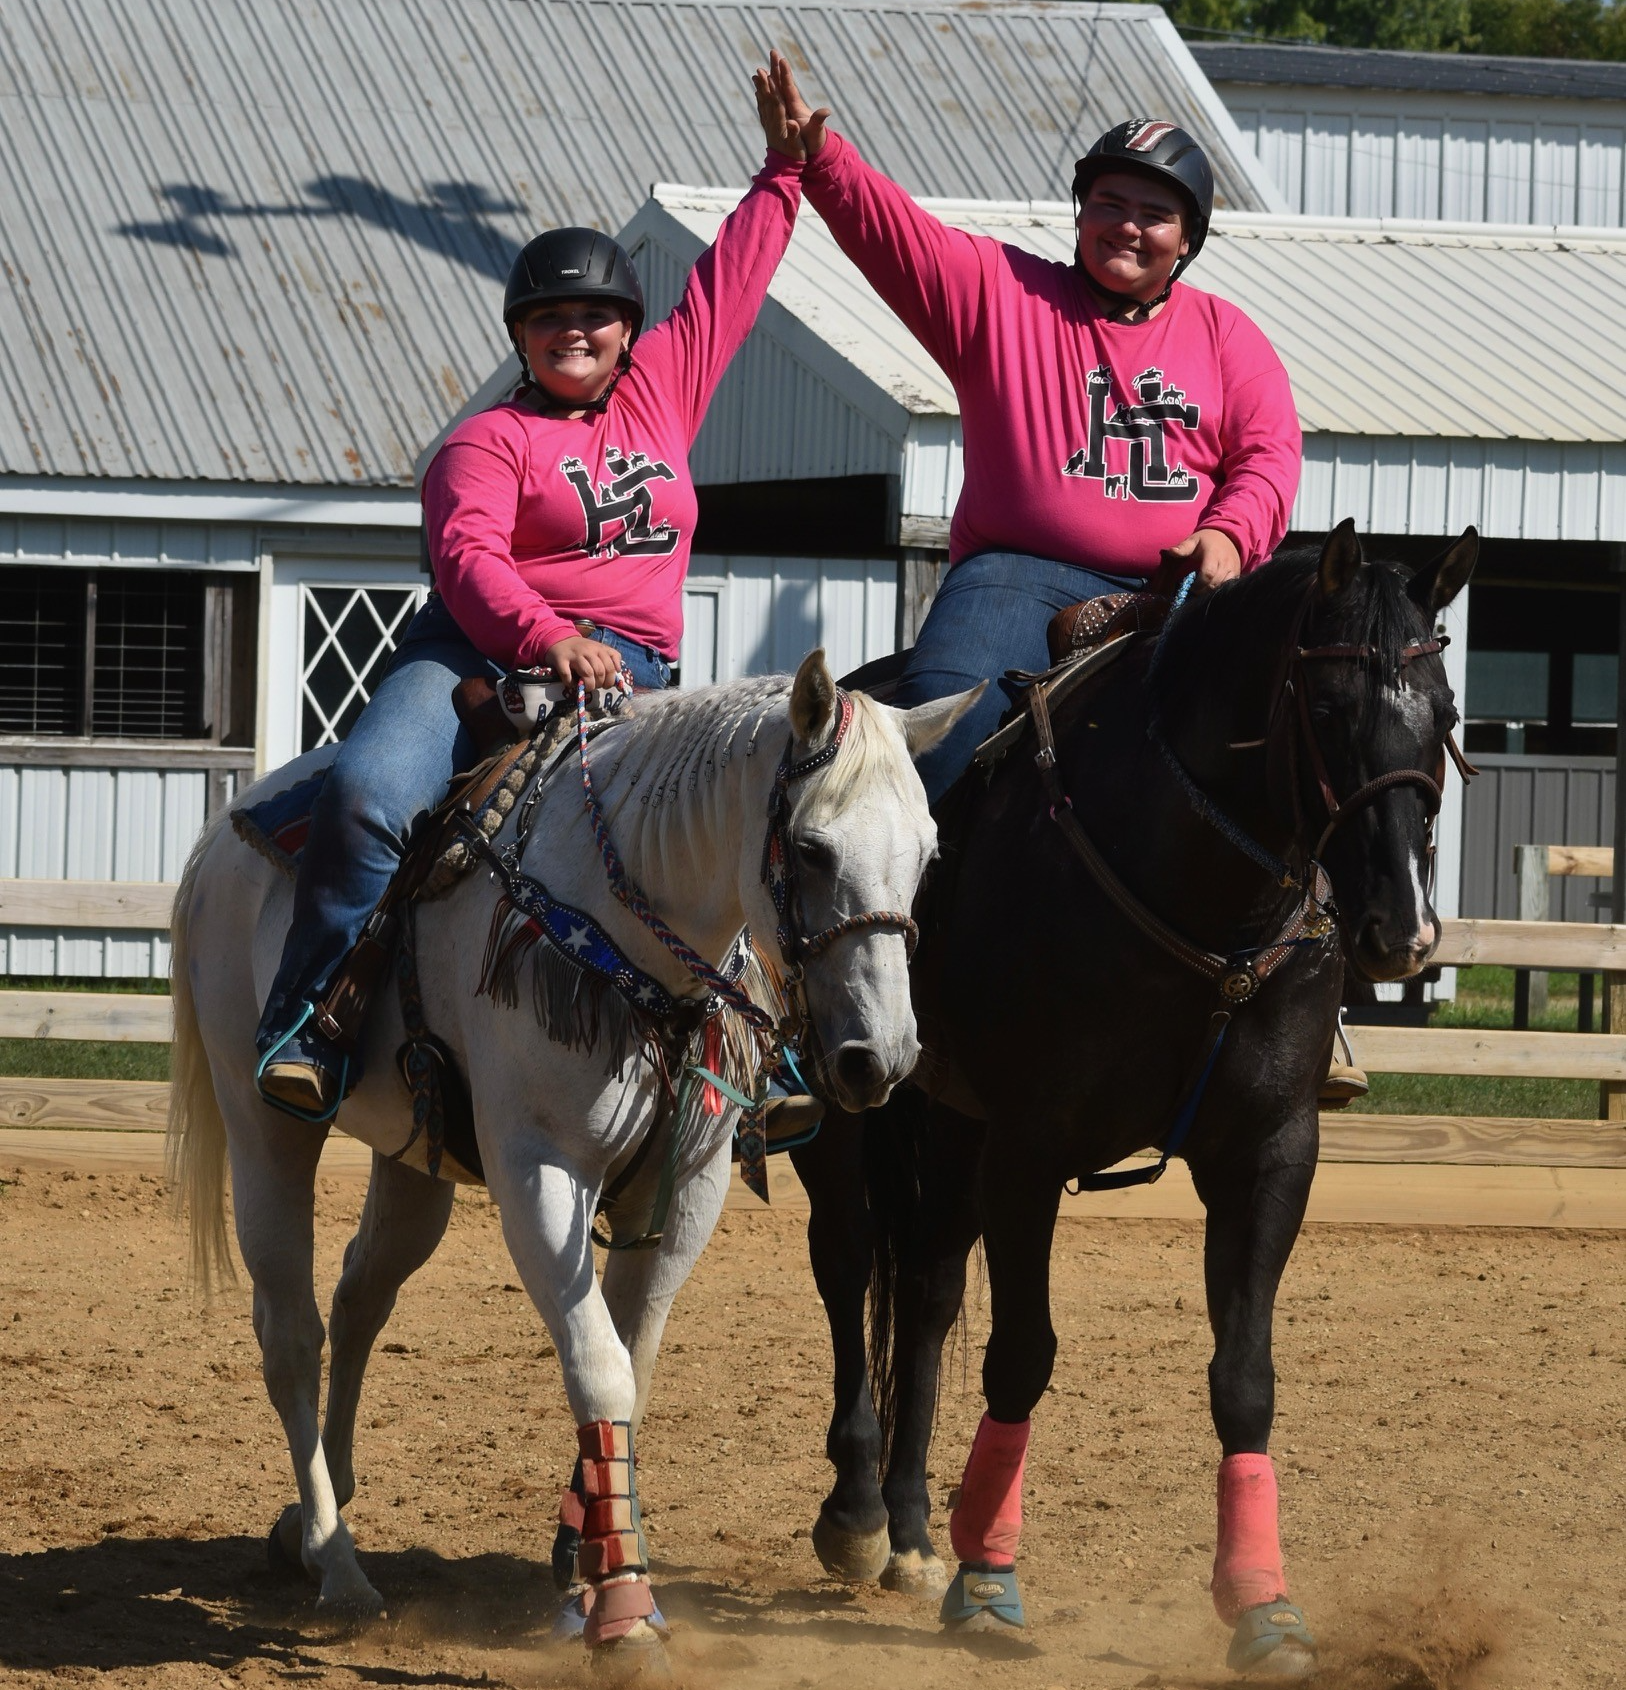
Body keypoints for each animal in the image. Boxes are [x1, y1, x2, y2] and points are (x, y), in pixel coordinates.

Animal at [165, 651, 978, 1663]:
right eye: (814, 848)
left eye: (930, 855)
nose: (883, 1058)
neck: (622, 932)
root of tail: (223, 839)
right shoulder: (540, 1174)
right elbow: (598, 1365)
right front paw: (622, 1607)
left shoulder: (688, 1189)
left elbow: (635, 1362)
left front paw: (584, 1552)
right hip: (263, 1130)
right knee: (291, 1333)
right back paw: (338, 1562)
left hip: (413, 1162)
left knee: (358, 1302)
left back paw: (314, 1523)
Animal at [791, 523, 1477, 1676]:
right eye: (1330, 708)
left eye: (1449, 715)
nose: (1402, 928)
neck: (1196, 892)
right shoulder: (1030, 1148)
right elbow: (1022, 1355)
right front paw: (990, 1580)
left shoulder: (1269, 1155)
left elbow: (1244, 1377)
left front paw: (1262, 1605)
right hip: (857, 1106)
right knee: (847, 1269)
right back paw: (858, 1515)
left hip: (952, 1126)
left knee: (925, 1293)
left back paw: (915, 1531)